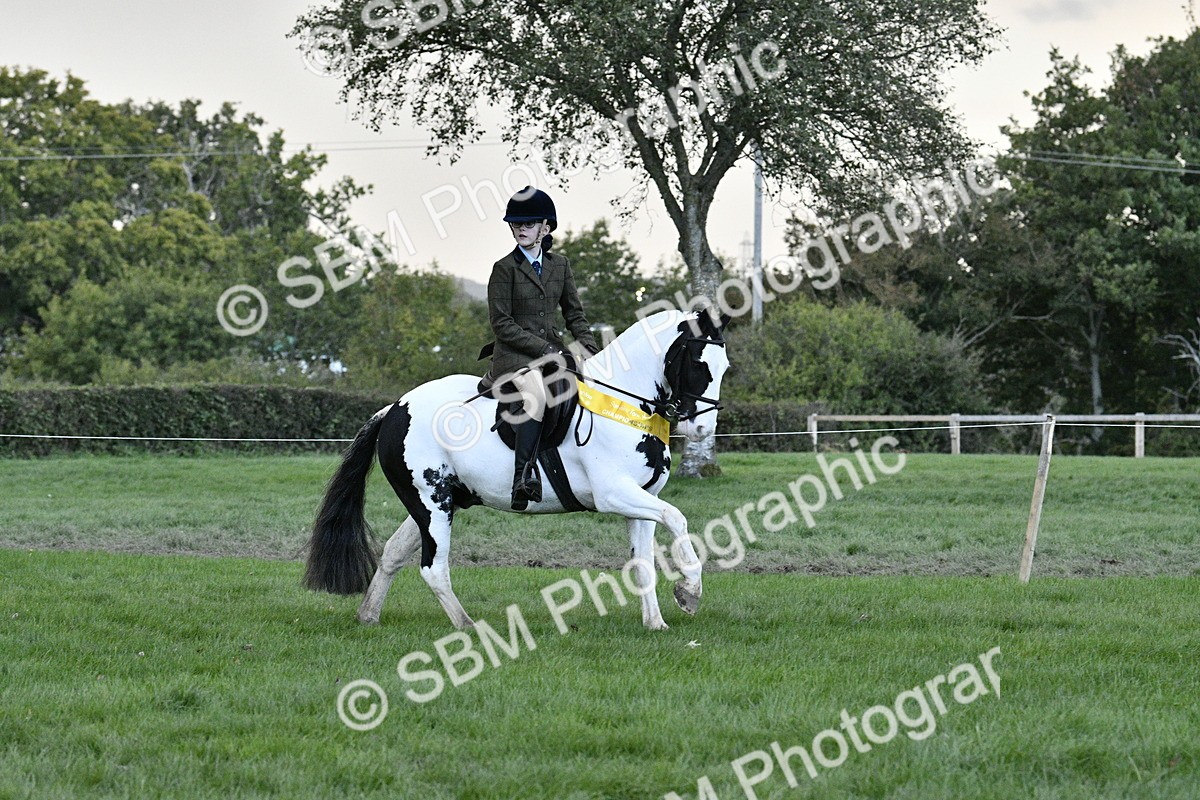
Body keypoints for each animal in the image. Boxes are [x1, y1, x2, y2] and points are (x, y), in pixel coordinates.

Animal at [302, 308, 730, 630]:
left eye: (725, 365)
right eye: (697, 362)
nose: (702, 430)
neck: (624, 403)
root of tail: (394, 408)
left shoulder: (641, 500)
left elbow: (643, 563)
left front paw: (656, 623)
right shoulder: (614, 495)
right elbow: (677, 518)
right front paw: (689, 592)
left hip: (437, 502)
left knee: (393, 552)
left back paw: (368, 615)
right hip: (432, 503)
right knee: (433, 568)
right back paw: (468, 627)